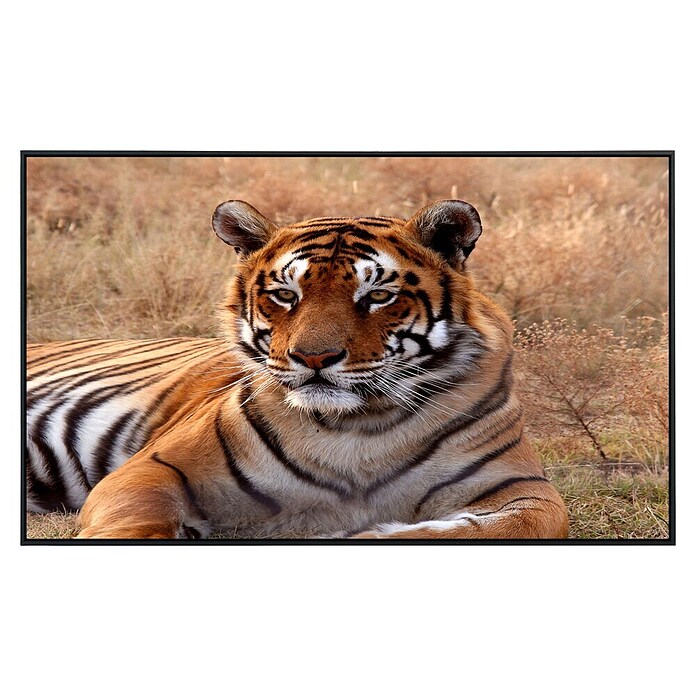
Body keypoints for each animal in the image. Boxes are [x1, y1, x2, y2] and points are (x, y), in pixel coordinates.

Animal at [26, 199, 569, 539]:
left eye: (377, 296)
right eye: (286, 294)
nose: (313, 358)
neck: (360, 429)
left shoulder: (525, 490)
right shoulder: (154, 468)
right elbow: (136, 519)